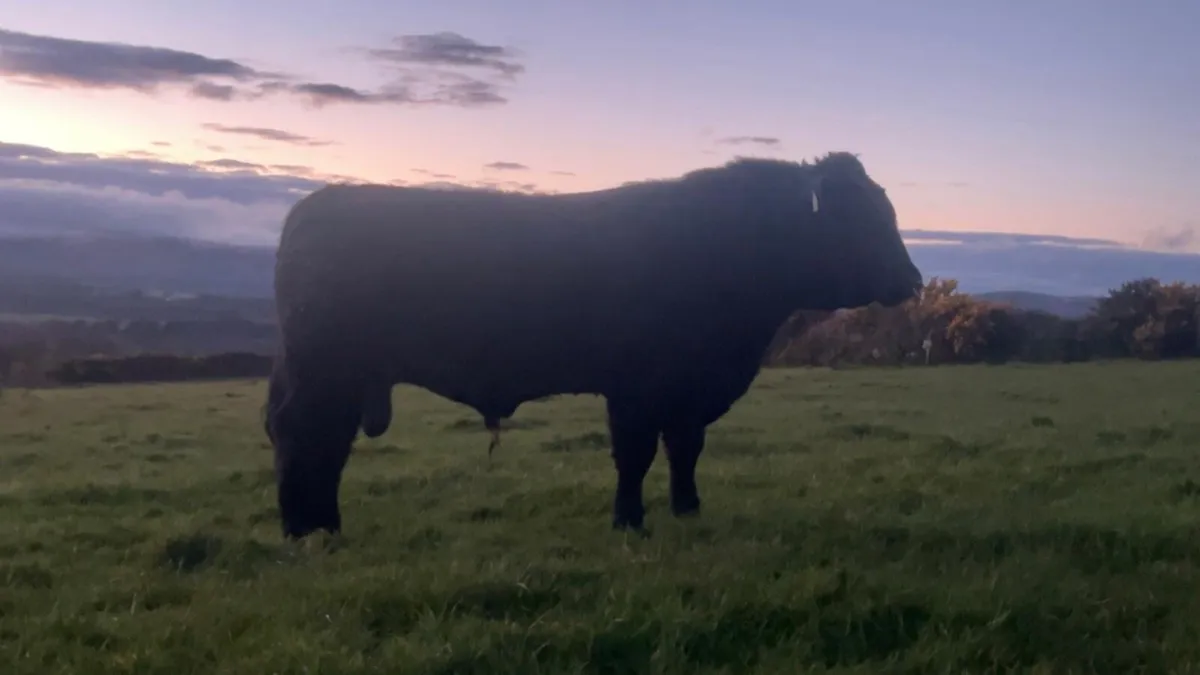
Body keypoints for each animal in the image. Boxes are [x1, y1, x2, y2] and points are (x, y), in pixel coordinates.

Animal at [263, 152, 923, 540]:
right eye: (864, 218)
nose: (914, 280)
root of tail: (312, 206)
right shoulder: (636, 387)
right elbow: (635, 455)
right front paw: (629, 522)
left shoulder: (691, 390)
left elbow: (685, 450)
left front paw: (688, 509)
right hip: (325, 368)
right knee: (306, 435)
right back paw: (307, 530)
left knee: (323, 440)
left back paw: (320, 524)